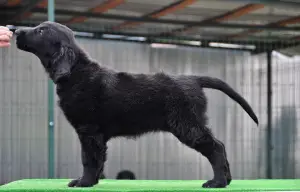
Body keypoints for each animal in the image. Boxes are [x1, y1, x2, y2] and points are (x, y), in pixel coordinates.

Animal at [14, 21, 258, 188]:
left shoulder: (88, 130)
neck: (76, 73)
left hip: (187, 125)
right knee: (219, 144)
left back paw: (217, 182)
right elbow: (98, 160)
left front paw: (83, 182)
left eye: (41, 31)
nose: (16, 31)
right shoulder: (95, 135)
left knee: (215, 147)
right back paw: (226, 179)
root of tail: (194, 79)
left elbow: (89, 159)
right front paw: (92, 182)